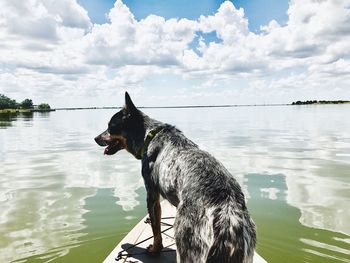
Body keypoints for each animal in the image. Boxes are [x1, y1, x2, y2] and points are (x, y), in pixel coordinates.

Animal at [94, 92, 256, 262]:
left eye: (110, 127)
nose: (95, 138)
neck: (149, 136)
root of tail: (228, 218)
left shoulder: (152, 194)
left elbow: (156, 229)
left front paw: (155, 249)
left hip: (187, 243)